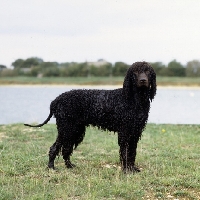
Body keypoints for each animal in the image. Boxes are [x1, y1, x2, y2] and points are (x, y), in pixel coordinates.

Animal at [24, 61, 156, 173]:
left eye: (148, 71)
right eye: (135, 72)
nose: (143, 80)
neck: (135, 100)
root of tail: (56, 100)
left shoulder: (135, 132)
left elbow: (132, 152)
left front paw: (132, 169)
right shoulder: (125, 132)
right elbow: (125, 152)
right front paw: (126, 170)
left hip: (76, 130)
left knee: (66, 149)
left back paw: (69, 166)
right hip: (66, 129)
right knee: (55, 148)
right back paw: (51, 167)